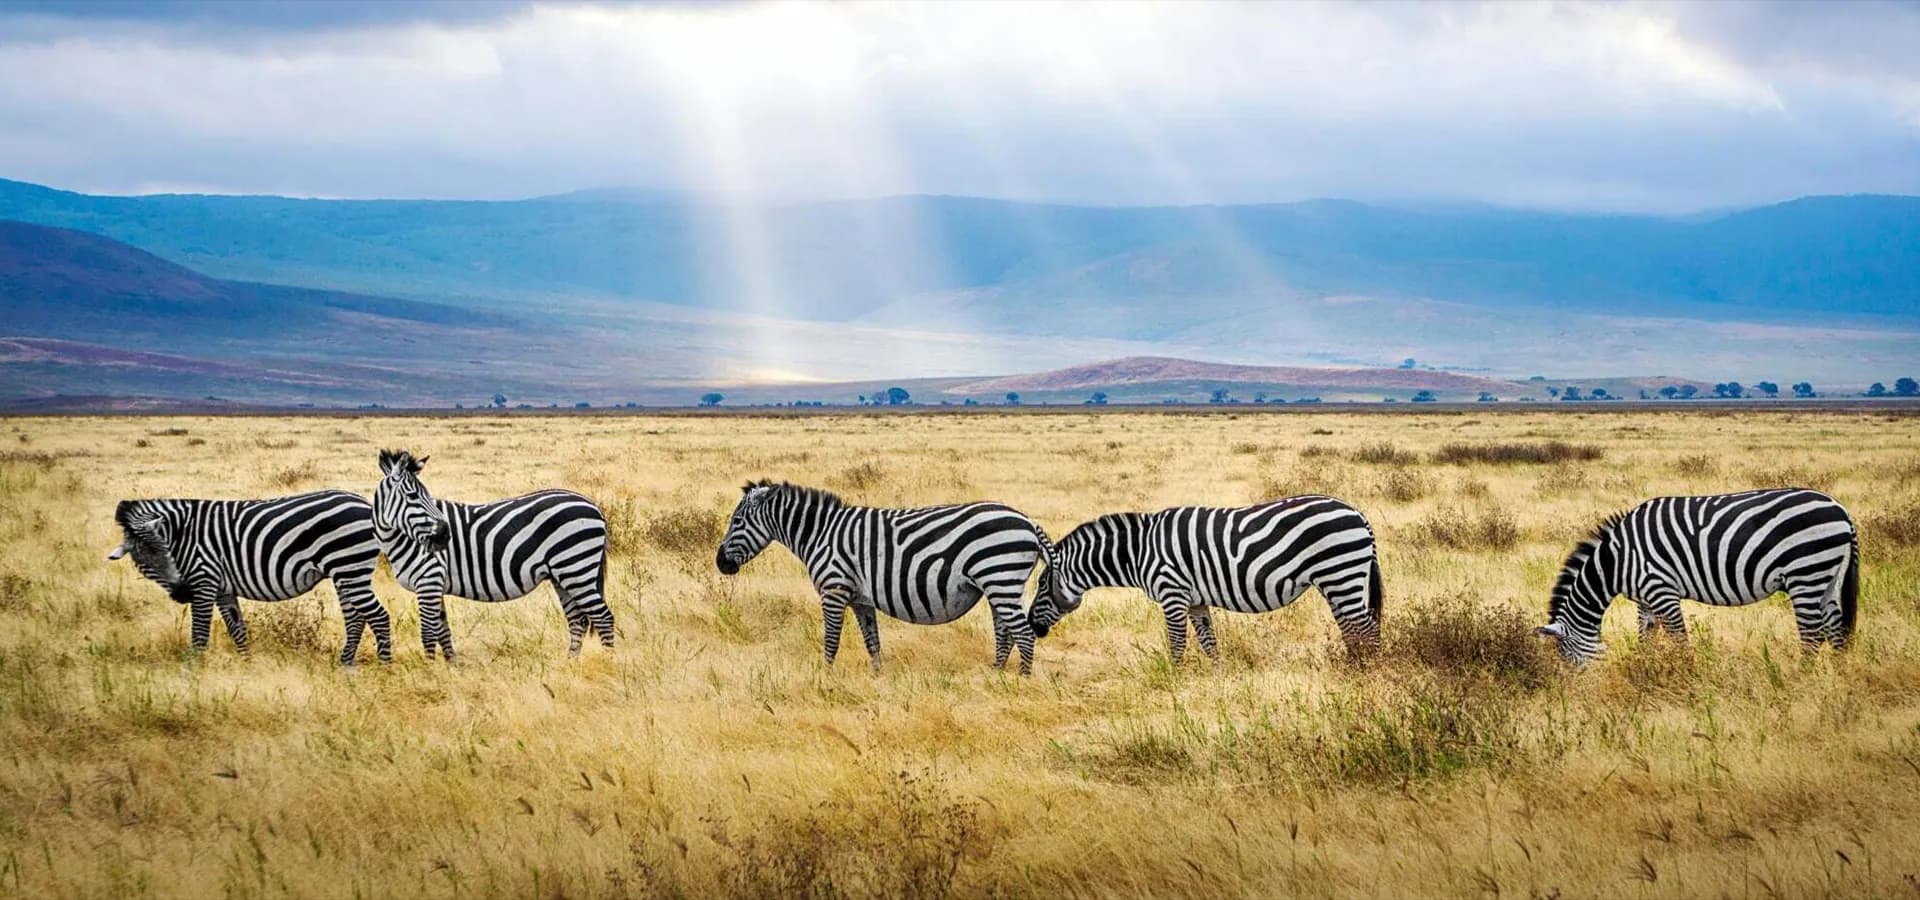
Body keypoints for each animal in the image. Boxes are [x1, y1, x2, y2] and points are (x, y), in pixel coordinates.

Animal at [107, 491, 392, 664]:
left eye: (166, 552)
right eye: (144, 562)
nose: (182, 593)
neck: (183, 534)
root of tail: (365, 503)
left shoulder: (204, 580)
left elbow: (200, 634)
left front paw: (193, 670)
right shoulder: (222, 589)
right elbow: (237, 629)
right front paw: (247, 664)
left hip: (350, 567)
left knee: (378, 616)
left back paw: (384, 666)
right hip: (344, 573)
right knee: (355, 618)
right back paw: (345, 664)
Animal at [374, 449, 613, 658]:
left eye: (425, 496)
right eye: (413, 495)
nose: (444, 535)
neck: (403, 539)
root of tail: (592, 504)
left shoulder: (429, 580)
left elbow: (428, 634)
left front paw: (430, 669)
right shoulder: (435, 584)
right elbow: (443, 632)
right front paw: (451, 667)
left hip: (576, 568)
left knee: (604, 618)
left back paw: (609, 661)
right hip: (563, 575)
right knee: (578, 620)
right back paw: (570, 664)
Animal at [715, 479, 1052, 674]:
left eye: (737, 521)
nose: (720, 563)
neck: (820, 533)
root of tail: (1027, 521)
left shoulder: (834, 590)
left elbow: (831, 640)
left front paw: (825, 678)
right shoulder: (861, 600)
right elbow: (872, 641)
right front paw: (877, 679)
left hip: (999, 578)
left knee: (1023, 633)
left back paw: (1021, 681)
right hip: (998, 585)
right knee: (1005, 632)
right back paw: (995, 675)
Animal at [1028, 495, 1383, 662]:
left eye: (1042, 586)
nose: (1032, 626)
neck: (1139, 551)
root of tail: (1358, 513)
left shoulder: (1172, 593)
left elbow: (1177, 644)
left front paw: (1174, 682)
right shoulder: (1195, 601)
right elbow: (1209, 643)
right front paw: (1217, 680)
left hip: (1341, 574)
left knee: (1366, 628)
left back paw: (1369, 672)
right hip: (1338, 581)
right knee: (1352, 629)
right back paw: (1352, 668)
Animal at [1537, 488, 1858, 664]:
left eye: (1565, 656)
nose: (1575, 691)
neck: (1616, 561)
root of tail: (1841, 510)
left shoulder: (1661, 590)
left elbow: (1679, 639)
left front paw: (1686, 676)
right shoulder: (1645, 599)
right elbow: (1646, 637)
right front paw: (1644, 671)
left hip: (1805, 572)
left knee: (1812, 635)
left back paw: (1799, 681)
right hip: (1827, 577)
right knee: (1835, 629)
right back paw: (1839, 681)